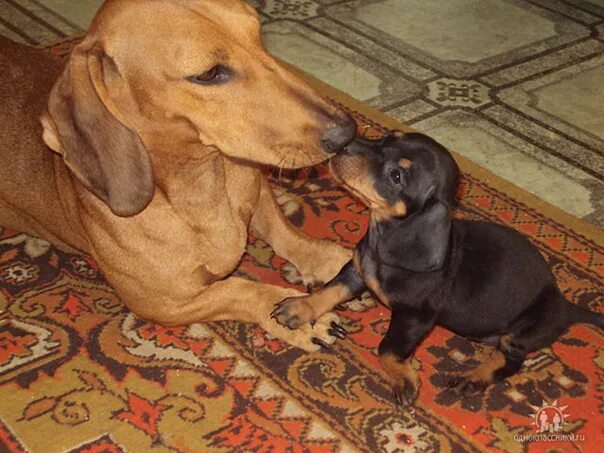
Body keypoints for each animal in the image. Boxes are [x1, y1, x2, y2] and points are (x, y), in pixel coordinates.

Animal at [270, 131, 604, 406]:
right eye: (387, 138)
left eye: (396, 176)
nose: (343, 145)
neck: (386, 240)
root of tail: (565, 305)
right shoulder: (356, 271)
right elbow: (331, 290)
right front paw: (299, 308)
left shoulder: (414, 318)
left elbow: (387, 348)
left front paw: (403, 379)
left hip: (522, 332)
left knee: (511, 361)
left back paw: (473, 378)